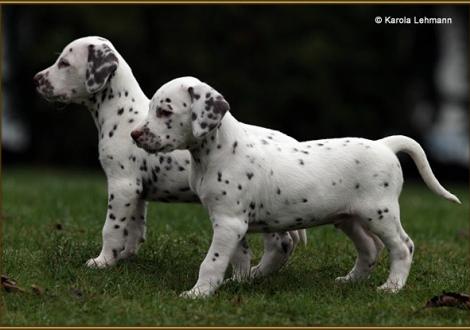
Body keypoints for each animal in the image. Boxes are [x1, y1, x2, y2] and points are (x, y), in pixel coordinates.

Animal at [35, 36, 308, 278]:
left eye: (64, 63)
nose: (36, 79)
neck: (122, 114)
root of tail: (292, 143)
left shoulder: (122, 184)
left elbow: (112, 228)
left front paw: (102, 261)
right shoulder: (137, 191)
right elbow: (134, 228)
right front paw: (124, 256)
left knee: (280, 244)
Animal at [131, 76, 458, 298]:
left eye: (165, 111)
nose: (134, 135)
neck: (217, 151)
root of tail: (385, 145)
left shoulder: (228, 222)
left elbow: (211, 261)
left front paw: (198, 293)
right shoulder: (231, 223)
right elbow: (239, 257)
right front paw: (239, 282)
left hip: (380, 214)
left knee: (403, 246)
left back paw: (392, 286)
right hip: (349, 218)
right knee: (368, 249)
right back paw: (350, 281)